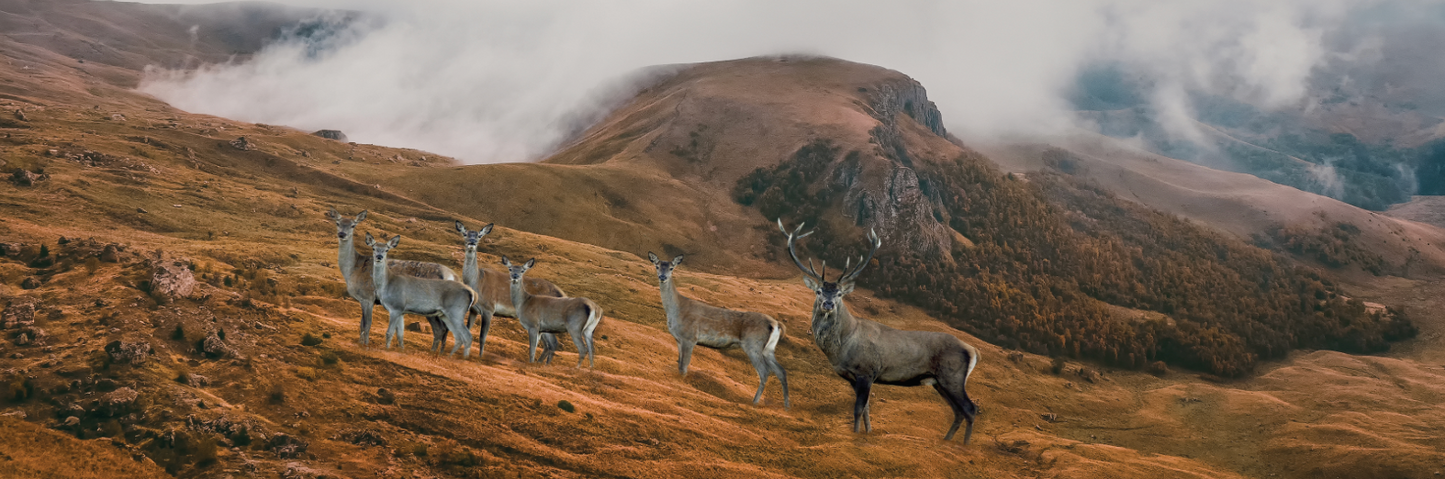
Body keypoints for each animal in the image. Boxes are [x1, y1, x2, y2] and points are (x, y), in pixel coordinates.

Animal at [328, 208, 456, 351]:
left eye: (353, 225)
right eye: (337, 223)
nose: (342, 234)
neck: (353, 269)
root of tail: (450, 275)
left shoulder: (368, 296)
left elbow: (367, 324)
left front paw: (365, 345)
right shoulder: (364, 299)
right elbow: (361, 324)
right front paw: (360, 343)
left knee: (440, 329)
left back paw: (433, 352)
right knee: (443, 328)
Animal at [453, 222, 560, 361]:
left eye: (479, 235)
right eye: (465, 233)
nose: (472, 242)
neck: (477, 281)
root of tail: (561, 293)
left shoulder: (489, 308)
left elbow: (482, 337)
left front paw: (480, 357)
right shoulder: (473, 309)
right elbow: (467, 329)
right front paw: (462, 353)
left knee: (552, 343)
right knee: (549, 344)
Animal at [653, 251, 791, 408]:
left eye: (671, 268)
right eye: (657, 266)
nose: (662, 277)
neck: (675, 310)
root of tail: (775, 323)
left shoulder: (690, 337)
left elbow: (683, 367)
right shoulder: (678, 339)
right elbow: (679, 363)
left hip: (753, 345)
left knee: (765, 371)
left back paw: (754, 402)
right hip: (768, 349)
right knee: (781, 371)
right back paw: (786, 406)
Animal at [780, 219, 982, 445]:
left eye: (839, 293)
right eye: (819, 291)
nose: (828, 304)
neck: (844, 346)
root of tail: (974, 351)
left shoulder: (867, 370)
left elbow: (858, 409)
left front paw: (856, 434)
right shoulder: (853, 377)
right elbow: (866, 409)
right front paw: (867, 432)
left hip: (952, 376)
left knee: (970, 408)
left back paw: (964, 445)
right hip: (940, 382)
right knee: (958, 411)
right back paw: (947, 440)